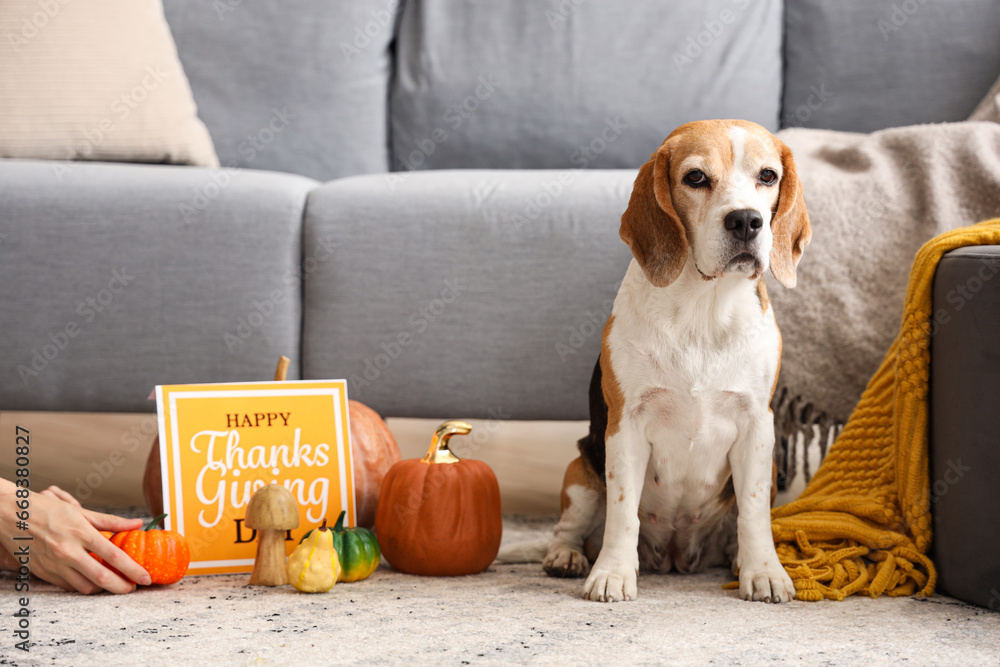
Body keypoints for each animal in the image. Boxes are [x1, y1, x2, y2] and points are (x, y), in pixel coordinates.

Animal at [516, 120, 812, 604]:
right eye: (695, 177)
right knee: (569, 527)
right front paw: (612, 575)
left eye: (768, 176)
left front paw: (764, 573)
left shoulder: (757, 426)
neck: (702, 308)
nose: (746, 220)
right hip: (581, 472)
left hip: (767, 468)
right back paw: (567, 557)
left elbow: (753, 514)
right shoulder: (625, 425)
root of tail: (675, 554)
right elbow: (623, 513)